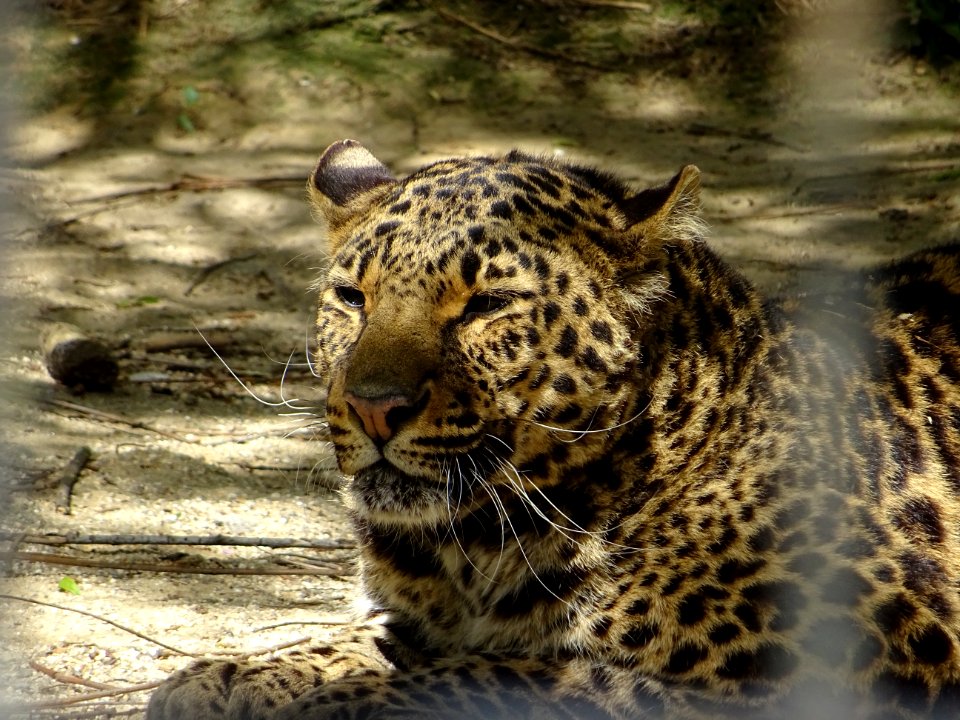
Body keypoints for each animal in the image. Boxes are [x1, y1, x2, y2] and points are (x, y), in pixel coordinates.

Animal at [146, 141, 960, 720]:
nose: (373, 405)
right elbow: (363, 641)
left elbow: (520, 677)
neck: (479, 544)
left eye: (486, 304)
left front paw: (338, 703)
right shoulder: (420, 616)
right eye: (352, 296)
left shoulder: (854, 664)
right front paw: (229, 677)